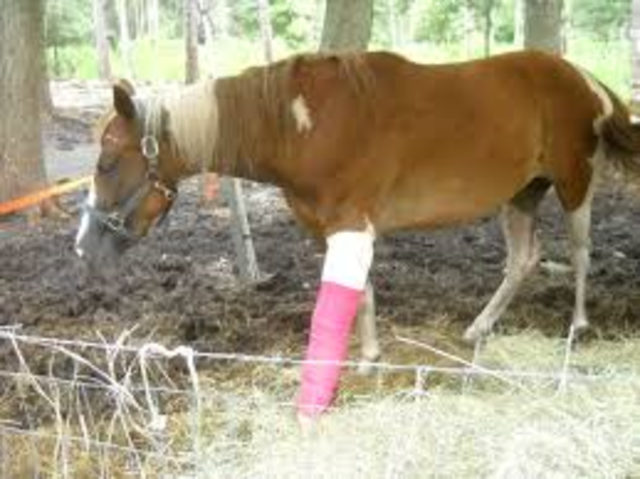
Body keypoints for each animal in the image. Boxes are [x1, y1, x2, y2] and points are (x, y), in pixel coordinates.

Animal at [75, 50, 640, 420]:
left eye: (107, 163)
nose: (84, 248)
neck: (301, 123)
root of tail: (582, 76)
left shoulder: (350, 226)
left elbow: (341, 303)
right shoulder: (340, 229)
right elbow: (361, 293)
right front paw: (368, 357)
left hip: (574, 184)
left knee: (581, 252)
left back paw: (579, 325)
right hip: (522, 194)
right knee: (523, 259)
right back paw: (479, 327)